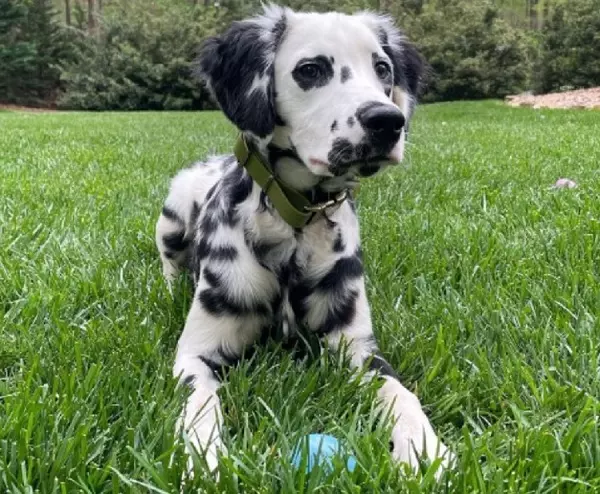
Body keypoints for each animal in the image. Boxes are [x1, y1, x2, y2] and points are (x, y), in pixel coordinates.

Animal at [155, 1, 450, 476]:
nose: (387, 121)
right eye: (310, 70)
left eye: (383, 69)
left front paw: (425, 448)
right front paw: (204, 461)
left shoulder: (357, 347)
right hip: (172, 215)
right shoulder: (195, 354)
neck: (293, 229)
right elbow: (200, 407)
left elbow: (401, 392)